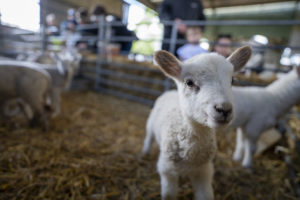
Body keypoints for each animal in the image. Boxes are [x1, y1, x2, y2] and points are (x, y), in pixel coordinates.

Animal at [142, 46, 252, 199]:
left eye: (232, 80)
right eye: (189, 82)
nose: (224, 109)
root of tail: (169, 92)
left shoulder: (204, 171)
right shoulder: (167, 170)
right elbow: (169, 194)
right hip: (151, 123)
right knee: (148, 136)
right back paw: (144, 152)